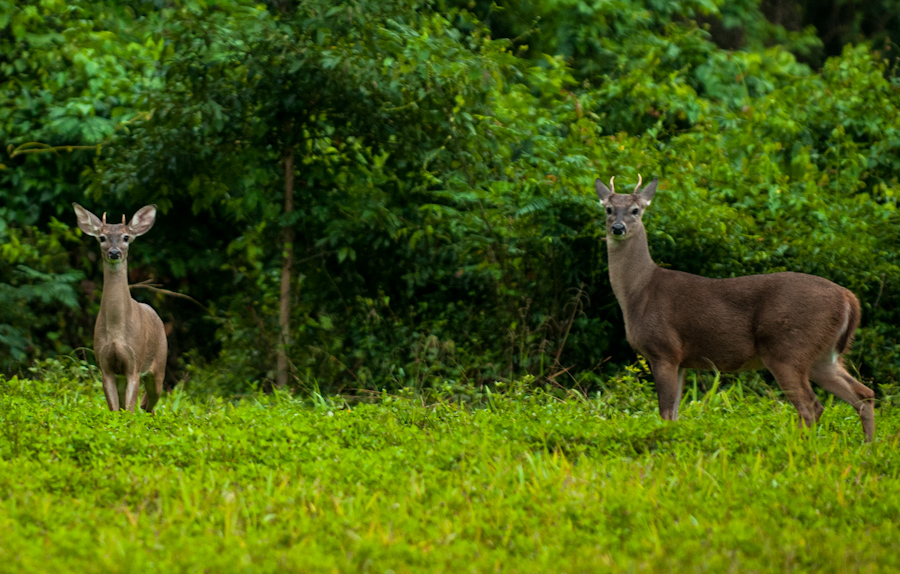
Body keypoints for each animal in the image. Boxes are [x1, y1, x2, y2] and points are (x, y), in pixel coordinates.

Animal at [73, 203, 168, 414]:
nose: (114, 253)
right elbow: (116, 410)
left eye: (126, 237)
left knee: (149, 403)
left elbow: (129, 411)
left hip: (159, 364)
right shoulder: (105, 366)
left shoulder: (134, 364)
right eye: (102, 237)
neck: (117, 331)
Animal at [595, 175, 875, 441]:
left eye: (635, 210)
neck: (639, 292)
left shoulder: (663, 349)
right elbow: (674, 414)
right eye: (608, 208)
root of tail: (849, 298)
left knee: (811, 406)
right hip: (823, 356)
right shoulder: (682, 359)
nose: (618, 228)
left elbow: (665, 412)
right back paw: (869, 448)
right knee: (863, 393)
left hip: (787, 348)